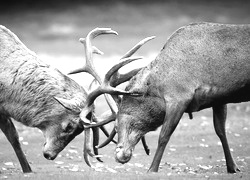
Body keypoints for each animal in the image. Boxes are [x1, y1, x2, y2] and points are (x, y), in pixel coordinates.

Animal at [78, 22, 250, 173]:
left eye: (116, 125)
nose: (119, 155)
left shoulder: (179, 96)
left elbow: (164, 135)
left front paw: (152, 169)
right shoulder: (219, 97)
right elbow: (221, 131)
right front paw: (233, 167)